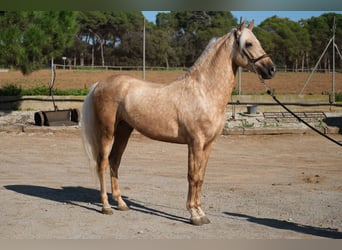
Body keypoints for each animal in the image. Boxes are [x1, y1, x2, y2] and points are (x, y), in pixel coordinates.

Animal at [80, 20, 276, 226]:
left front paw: (201, 212)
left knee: (114, 161)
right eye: (248, 44)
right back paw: (106, 207)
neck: (203, 91)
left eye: (257, 41)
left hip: (124, 130)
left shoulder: (208, 145)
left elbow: (201, 177)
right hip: (107, 132)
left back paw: (121, 203)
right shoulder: (195, 143)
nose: (271, 69)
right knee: (102, 163)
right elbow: (192, 176)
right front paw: (194, 214)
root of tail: (99, 84)